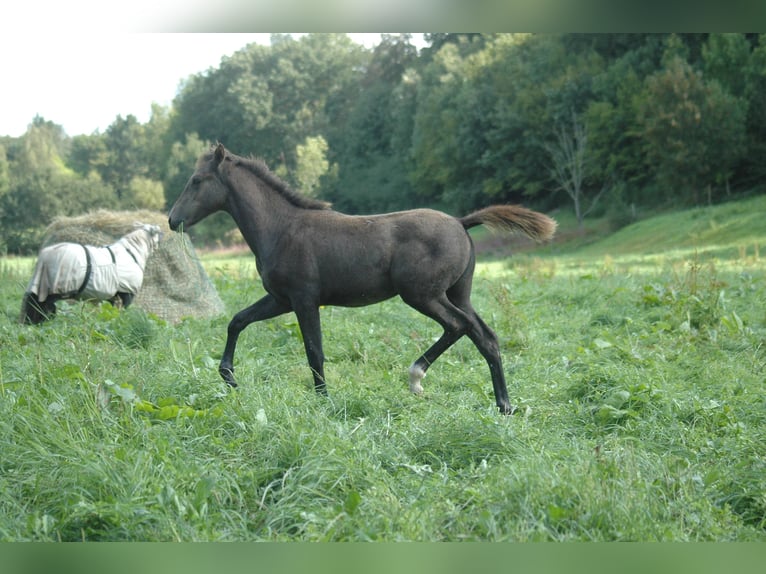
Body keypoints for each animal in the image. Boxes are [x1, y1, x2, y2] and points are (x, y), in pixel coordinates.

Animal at [20, 224, 162, 324]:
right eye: (157, 233)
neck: (133, 252)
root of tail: (44, 258)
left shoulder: (112, 295)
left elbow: (111, 310)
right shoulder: (127, 292)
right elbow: (123, 311)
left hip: (43, 284)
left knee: (34, 302)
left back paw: (31, 322)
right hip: (54, 286)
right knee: (43, 305)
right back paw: (41, 321)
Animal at [170, 143, 560, 414]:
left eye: (196, 180)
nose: (173, 220)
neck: (281, 228)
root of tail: (461, 222)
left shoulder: (304, 299)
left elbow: (314, 351)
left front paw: (323, 400)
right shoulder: (281, 299)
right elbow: (237, 321)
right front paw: (229, 376)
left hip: (423, 295)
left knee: (459, 326)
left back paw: (416, 378)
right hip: (457, 294)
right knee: (485, 337)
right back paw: (504, 405)